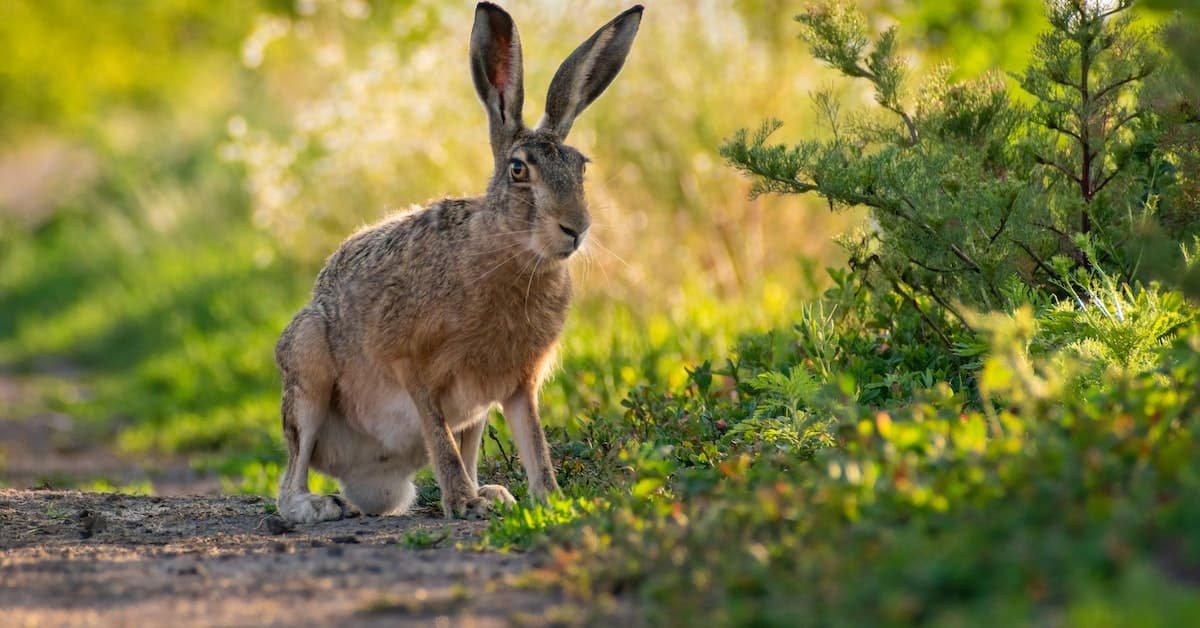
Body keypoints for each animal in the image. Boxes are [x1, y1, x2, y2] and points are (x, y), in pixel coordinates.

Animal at [274, 2, 643, 523]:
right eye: (518, 169)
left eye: (581, 167)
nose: (576, 228)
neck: (506, 252)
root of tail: (374, 483)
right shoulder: (411, 365)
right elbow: (440, 439)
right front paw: (462, 504)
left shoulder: (516, 384)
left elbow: (535, 443)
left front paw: (553, 500)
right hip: (307, 368)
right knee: (292, 473)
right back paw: (319, 506)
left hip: (475, 411)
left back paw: (491, 493)